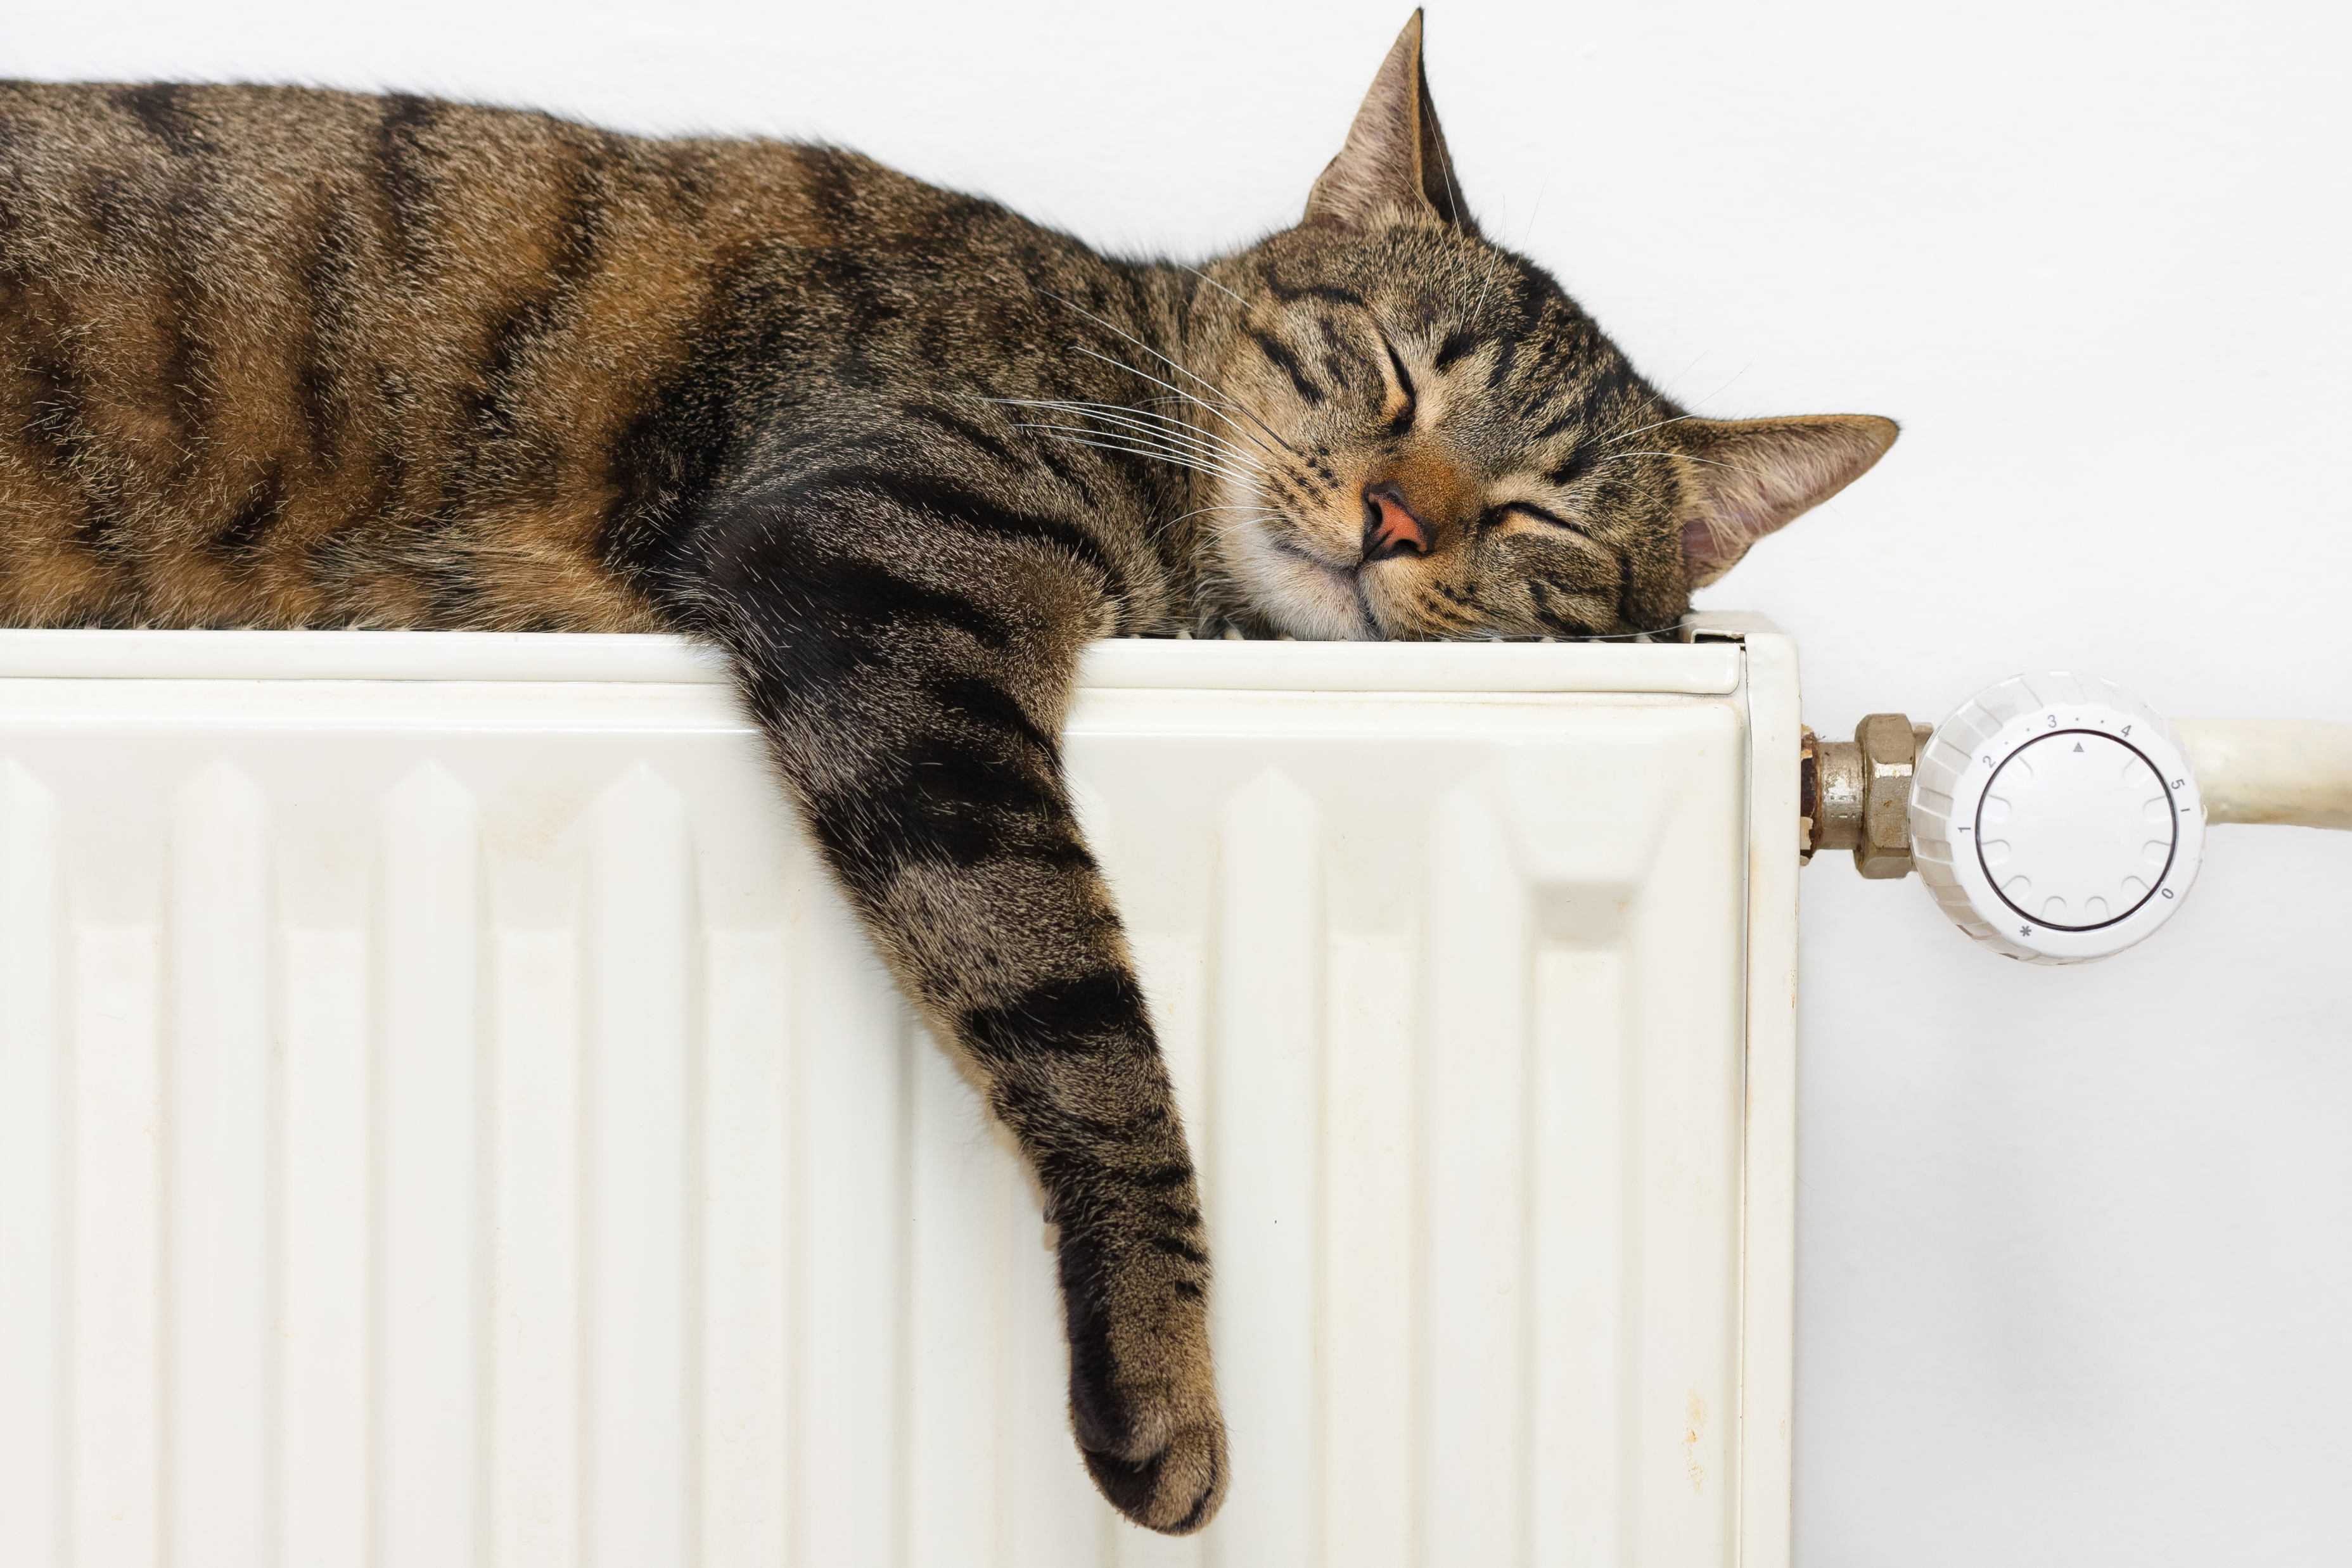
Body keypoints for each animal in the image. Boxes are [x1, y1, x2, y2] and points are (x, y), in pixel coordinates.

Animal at [0, 9, 1891, 1533]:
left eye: (1538, 520)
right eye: (1389, 369)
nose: (1398, 518)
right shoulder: (886, 571)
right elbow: (1089, 1031)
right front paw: (1163, 1374)